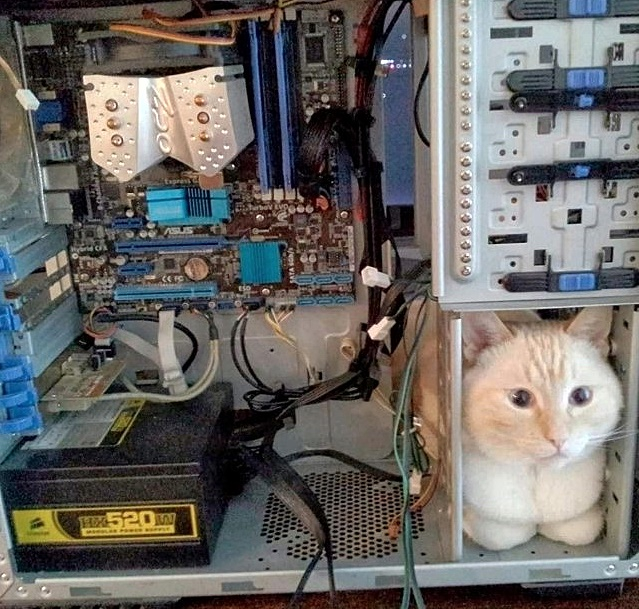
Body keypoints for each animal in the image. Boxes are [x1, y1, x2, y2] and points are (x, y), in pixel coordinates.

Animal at [392, 301, 624, 551]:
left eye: (581, 396)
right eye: (520, 398)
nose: (558, 438)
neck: (537, 476)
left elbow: (581, 530)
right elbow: (502, 535)